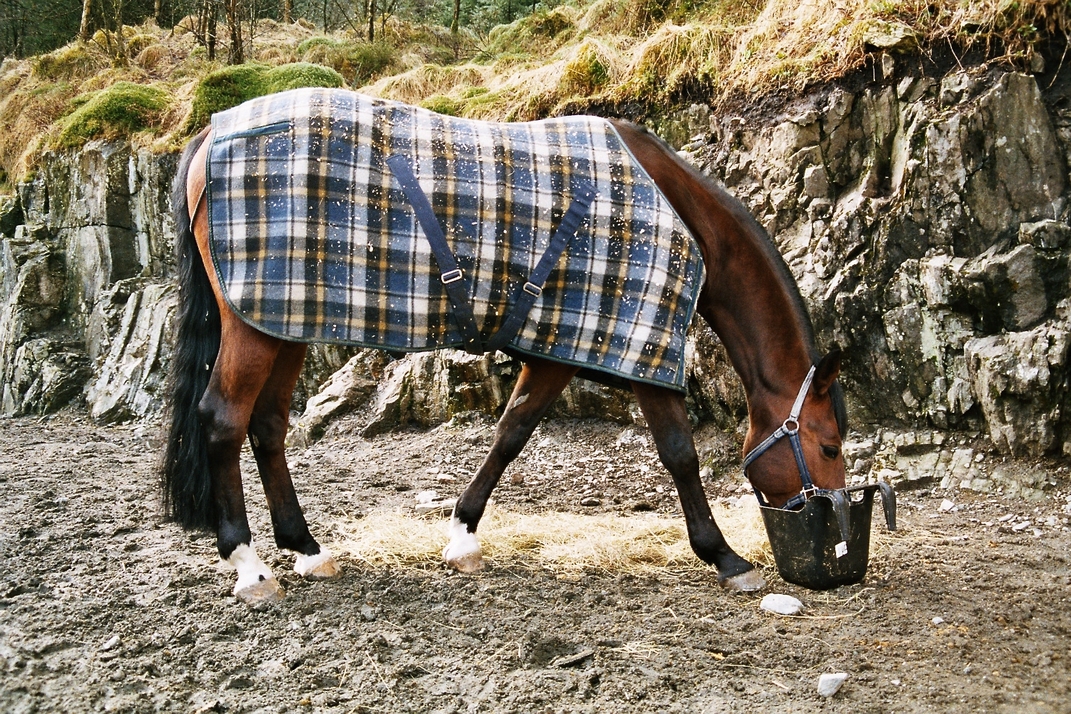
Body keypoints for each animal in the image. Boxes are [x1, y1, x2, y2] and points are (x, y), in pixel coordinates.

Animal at [161, 91, 847, 607]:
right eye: (831, 447)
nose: (844, 551)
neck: (676, 215)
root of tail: (211, 133)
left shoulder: (557, 346)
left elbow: (511, 433)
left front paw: (463, 537)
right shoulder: (641, 343)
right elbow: (679, 453)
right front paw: (724, 555)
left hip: (282, 324)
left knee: (268, 427)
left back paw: (307, 550)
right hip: (253, 328)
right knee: (223, 420)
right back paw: (249, 566)